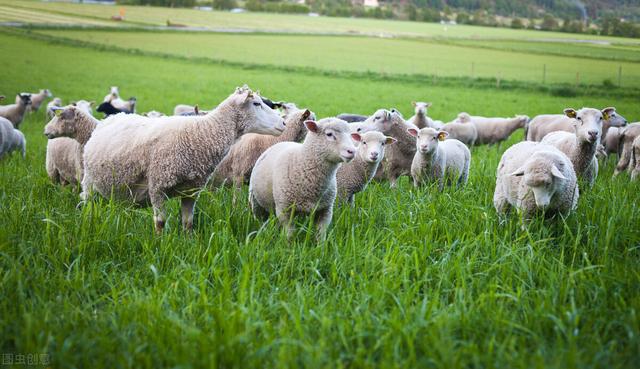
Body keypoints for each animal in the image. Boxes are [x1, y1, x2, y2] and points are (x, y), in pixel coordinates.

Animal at [80, 85, 284, 231]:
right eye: (256, 104)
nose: (283, 122)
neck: (202, 133)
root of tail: (110, 119)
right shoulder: (157, 186)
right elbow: (160, 222)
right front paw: (160, 246)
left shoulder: (191, 191)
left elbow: (188, 223)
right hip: (89, 182)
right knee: (87, 204)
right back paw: (87, 224)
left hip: (119, 186)